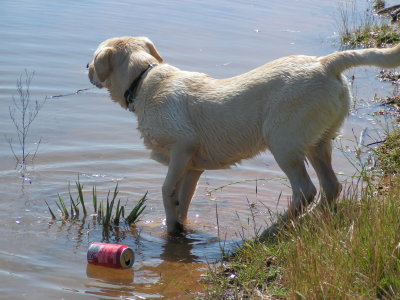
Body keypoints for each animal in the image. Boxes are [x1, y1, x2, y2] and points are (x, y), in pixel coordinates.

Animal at [88, 36, 400, 236]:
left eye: (93, 59)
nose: (86, 69)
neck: (143, 80)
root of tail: (325, 63)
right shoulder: (193, 167)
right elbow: (183, 200)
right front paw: (176, 228)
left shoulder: (182, 148)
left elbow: (166, 191)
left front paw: (171, 222)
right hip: (319, 142)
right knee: (331, 186)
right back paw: (312, 220)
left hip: (283, 143)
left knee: (306, 190)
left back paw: (273, 230)